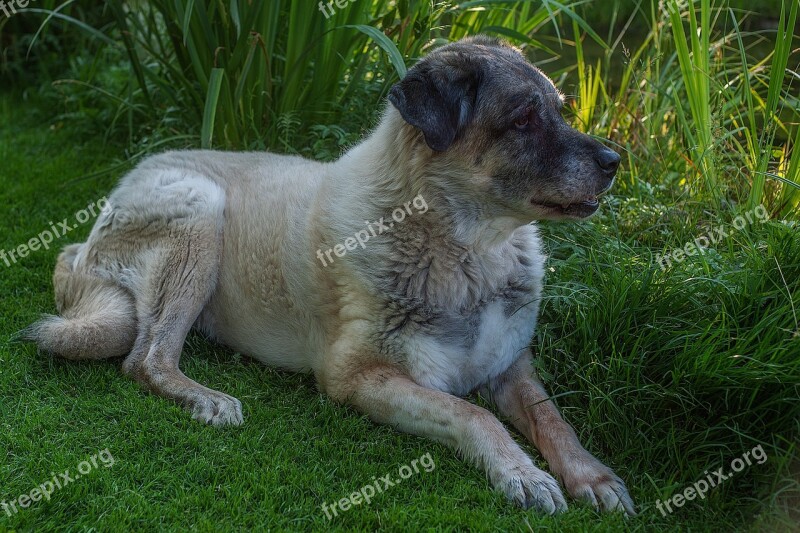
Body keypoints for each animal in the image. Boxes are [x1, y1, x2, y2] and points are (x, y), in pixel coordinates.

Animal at [25, 36, 636, 512]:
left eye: (559, 109)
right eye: (523, 119)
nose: (614, 161)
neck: (470, 252)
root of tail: (130, 179)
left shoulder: (510, 366)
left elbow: (554, 420)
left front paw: (593, 477)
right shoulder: (358, 377)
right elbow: (473, 415)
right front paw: (524, 474)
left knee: (72, 263)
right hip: (201, 213)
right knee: (144, 358)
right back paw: (207, 398)